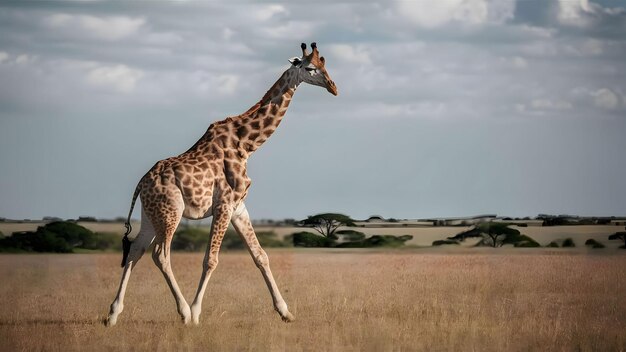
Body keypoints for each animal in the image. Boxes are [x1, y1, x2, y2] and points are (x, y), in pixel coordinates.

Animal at [105, 42, 336, 326]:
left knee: (135, 251)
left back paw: (113, 314)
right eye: (311, 68)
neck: (247, 144)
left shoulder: (238, 206)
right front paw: (195, 312)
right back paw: (183, 312)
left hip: (151, 215)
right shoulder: (224, 204)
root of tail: (141, 183)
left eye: (326, 65)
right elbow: (210, 260)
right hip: (171, 212)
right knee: (160, 254)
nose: (333, 87)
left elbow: (260, 255)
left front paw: (285, 312)